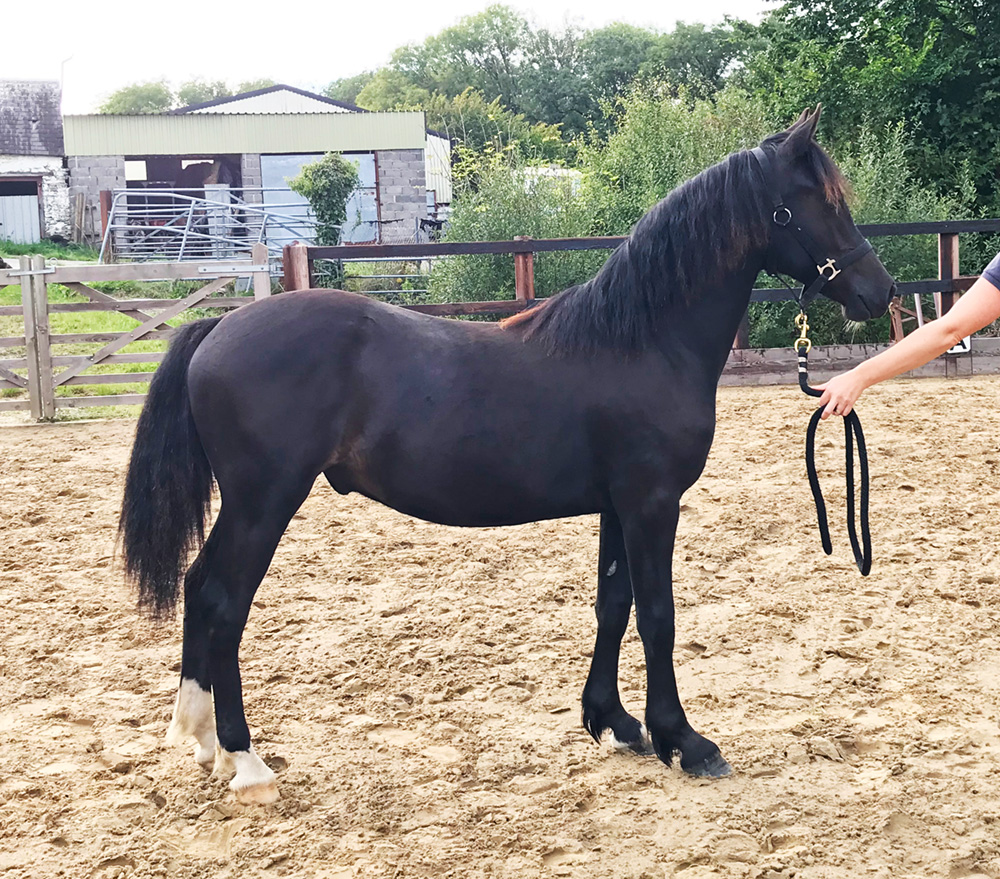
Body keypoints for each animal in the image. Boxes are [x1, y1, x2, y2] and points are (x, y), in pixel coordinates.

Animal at [121, 106, 896, 800]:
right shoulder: (651, 503)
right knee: (223, 599)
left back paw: (201, 739)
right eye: (821, 202)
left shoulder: (617, 506)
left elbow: (611, 604)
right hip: (265, 501)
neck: (642, 340)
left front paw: (613, 723)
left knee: (199, 587)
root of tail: (218, 327)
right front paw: (684, 740)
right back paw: (245, 759)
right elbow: (658, 614)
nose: (880, 290)